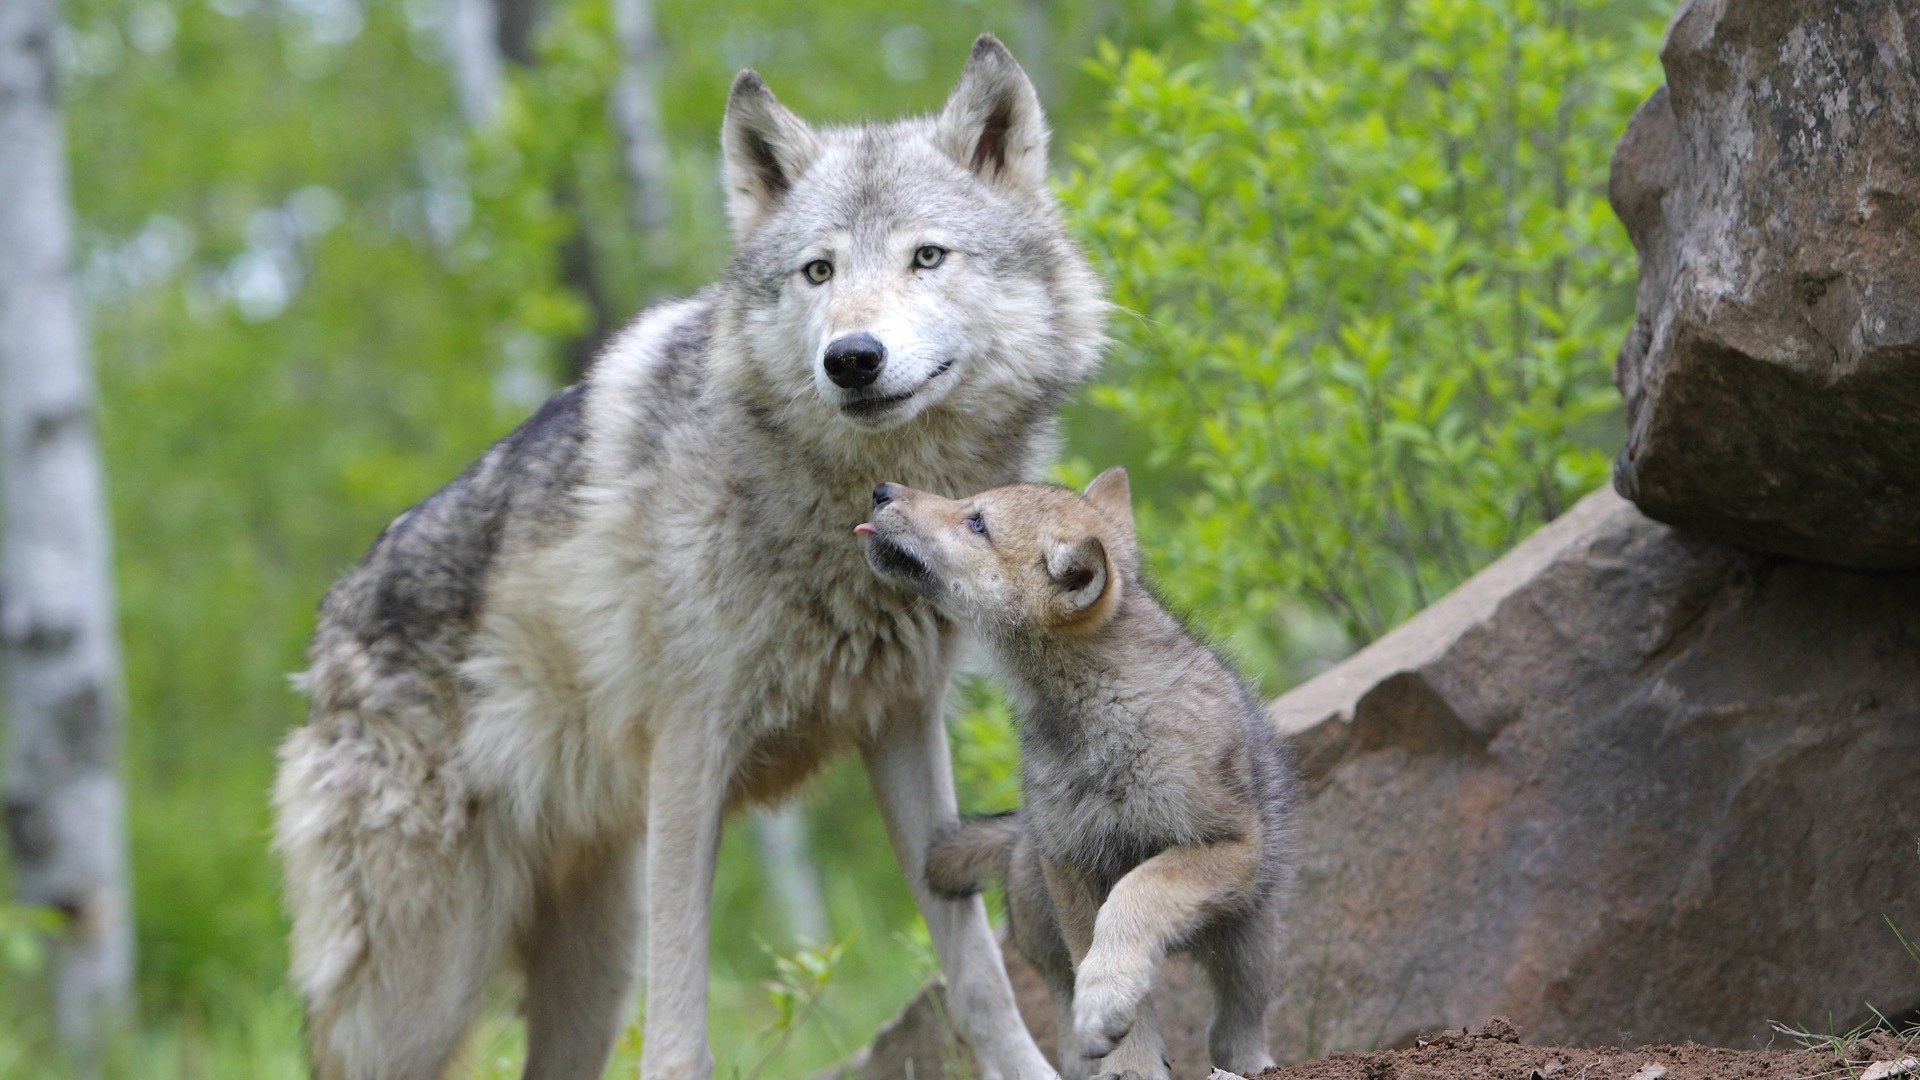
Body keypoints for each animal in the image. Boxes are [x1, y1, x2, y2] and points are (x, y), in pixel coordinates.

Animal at [271, 36, 1103, 1080]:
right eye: (818, 271)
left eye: (927, 257)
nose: (852, 358)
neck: (843, 510)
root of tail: (326, 635)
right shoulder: (689, 756)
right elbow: (678, 1035)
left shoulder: (903, 728)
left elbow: (979, 981)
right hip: (424, 990)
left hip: (591, 962)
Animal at [858, 469, 1294, 1080]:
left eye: (977, 521)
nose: (881, 490)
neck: (1098, 713)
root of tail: (1019, 834)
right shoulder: (1070, 863)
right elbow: (1098, 956)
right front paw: (1127, 1060)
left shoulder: (1227, 846)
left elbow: (1138, 893)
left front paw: (1108, 1003)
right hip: (1044, 924)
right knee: (1066, 1022)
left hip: (1250, 943)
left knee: (1235, 1027)